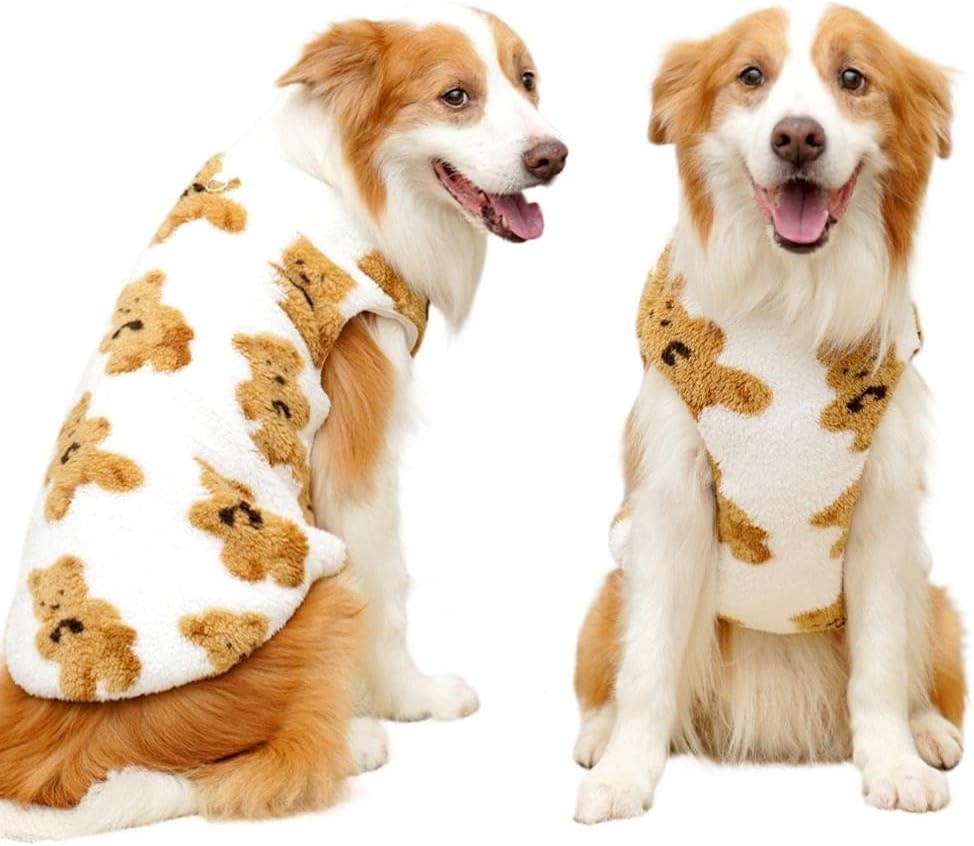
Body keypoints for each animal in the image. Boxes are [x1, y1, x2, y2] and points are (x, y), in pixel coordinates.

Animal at [28, 555, 141, 701]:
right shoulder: (46, 632)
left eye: (62, 591)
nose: (54, 606)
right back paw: (80, 691)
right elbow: (45, 646)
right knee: (75, 680)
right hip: (73, 669)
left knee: (117, 666)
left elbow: (108, 614)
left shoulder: (93, 608)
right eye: (42, 603)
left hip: (109, 656)